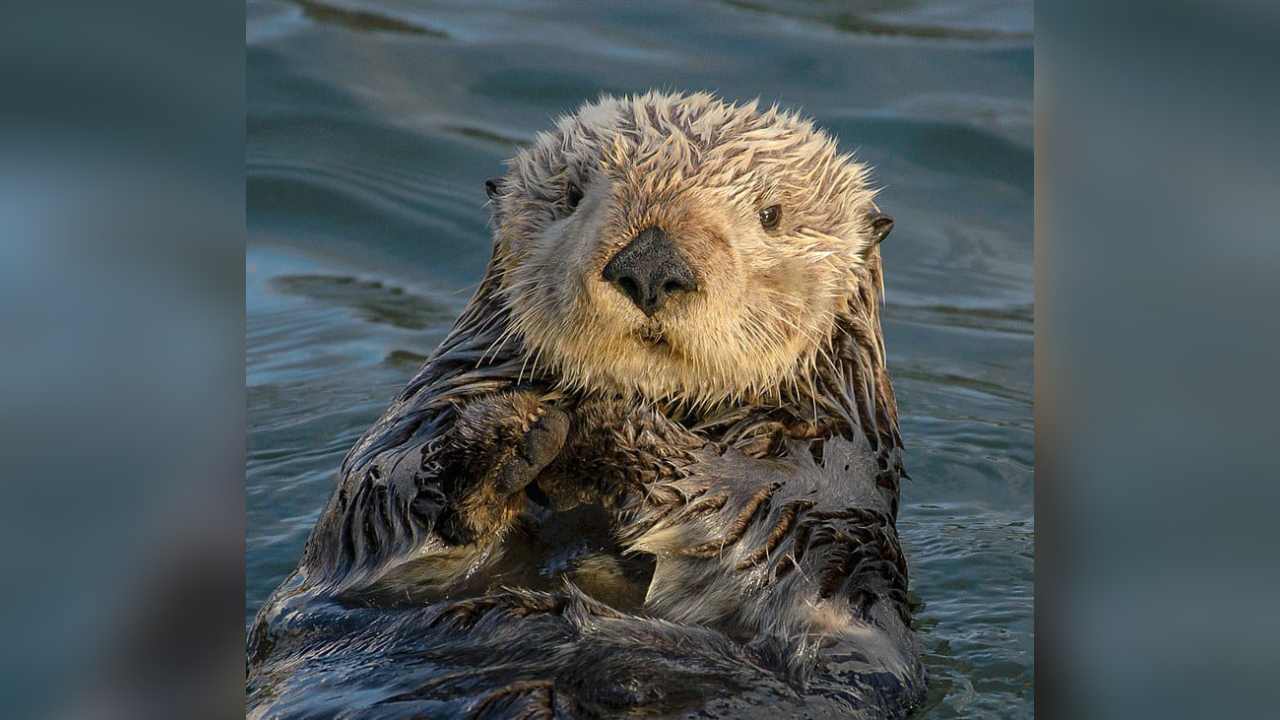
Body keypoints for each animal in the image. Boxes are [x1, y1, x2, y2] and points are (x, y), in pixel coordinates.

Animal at [247, 91, 924, 719]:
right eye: (571, 195)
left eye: (771, 213)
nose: (650, 265)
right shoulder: (416, 423)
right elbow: (374, 501)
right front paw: (511, 434)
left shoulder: (827, 491)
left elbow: (754, 518)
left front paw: (604, 432)